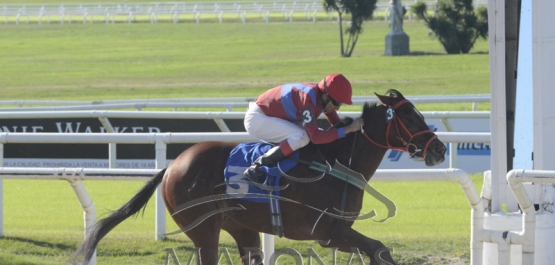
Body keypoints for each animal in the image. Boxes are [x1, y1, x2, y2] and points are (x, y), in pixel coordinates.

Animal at [74, 89, 448, 264]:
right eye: (410, 118)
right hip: (204, 230)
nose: (440, 150)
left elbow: (378, 251)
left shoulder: (335, 233)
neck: (341, 162)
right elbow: (380, 250)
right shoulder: (329, 232)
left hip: (243, 228)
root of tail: (174, 164)